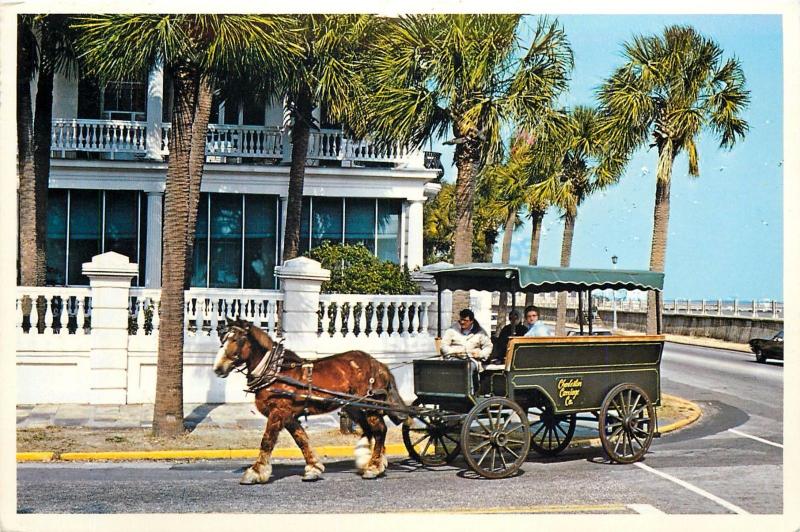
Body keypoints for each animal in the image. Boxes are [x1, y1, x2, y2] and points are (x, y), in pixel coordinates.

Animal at [212, 318, 406, 484]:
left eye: (237, 339)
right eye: (222, 339)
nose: (218, 368)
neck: (275, 371)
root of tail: (379, 364)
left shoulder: (278, 412)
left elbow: (267, 441)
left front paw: (255, 472)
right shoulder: (289, 416)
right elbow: (301, 439)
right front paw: (313, 468)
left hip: (370, 404)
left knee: (380, 430)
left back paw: (373, 467)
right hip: (354, 407)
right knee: (369, 429)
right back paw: (371, 460)